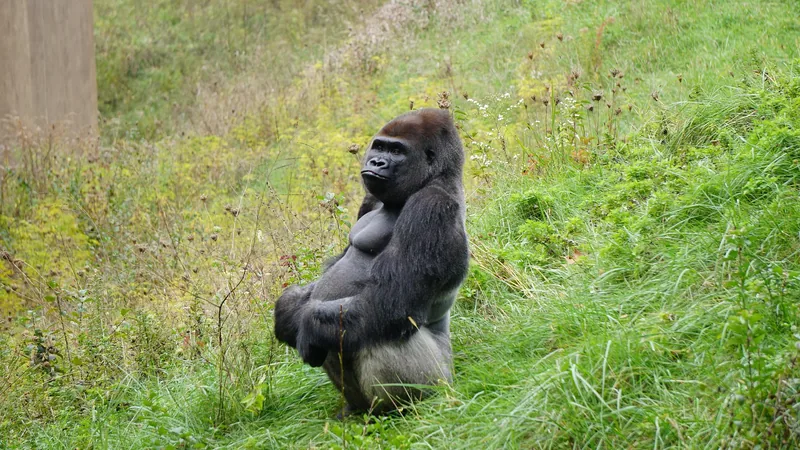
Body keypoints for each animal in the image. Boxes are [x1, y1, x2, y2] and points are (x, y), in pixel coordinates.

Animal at [274, 108, 469, 414]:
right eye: (379, 147)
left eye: (397, 151)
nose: (377, 162)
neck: (436, 177)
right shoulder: (369, 199)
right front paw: (288, 308)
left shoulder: (431, 207)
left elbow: (390, 300)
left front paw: (303, 323)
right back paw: (355, 410)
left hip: (439, 378)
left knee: (373, 330)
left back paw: (402, 408)